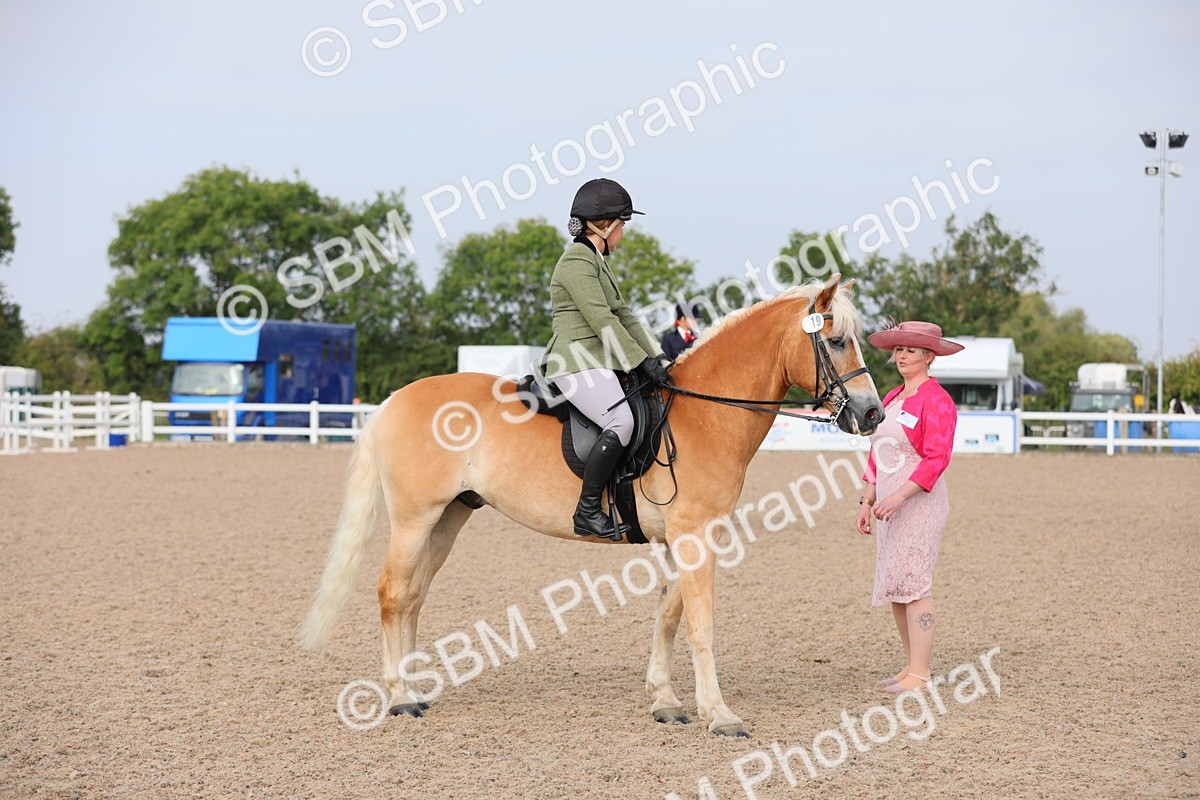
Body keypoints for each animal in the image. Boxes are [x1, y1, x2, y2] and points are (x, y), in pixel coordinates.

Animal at [300, 273, 884, 737]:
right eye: (835, 342)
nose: (873, 414)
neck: (704, 415)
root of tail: (396, 399)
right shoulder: (696, 535)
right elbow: (700, 622)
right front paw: (720, 715)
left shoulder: (680, 539)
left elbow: (668, 613)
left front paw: (666, 701)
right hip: (414, 519)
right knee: (393, 593)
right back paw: (399, 698)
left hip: (449, 518)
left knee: (415, 596)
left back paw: (416, 689)